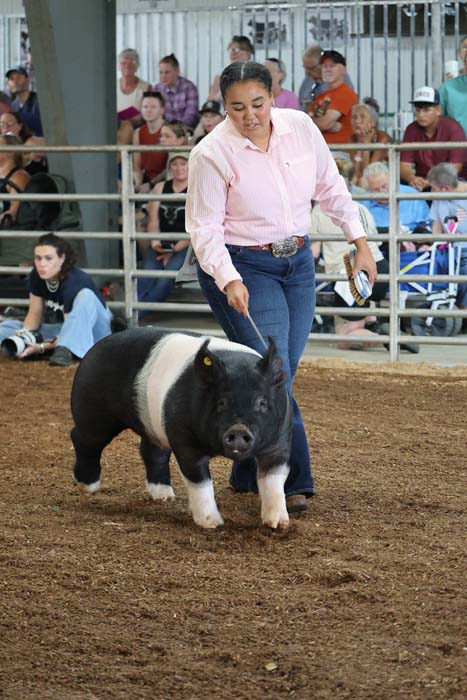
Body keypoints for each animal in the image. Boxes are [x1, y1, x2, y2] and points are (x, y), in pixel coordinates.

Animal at [70, 327, 293, 529]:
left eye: (262, 403)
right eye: (221, 402)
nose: (238, 429)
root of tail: (95, 348)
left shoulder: (279, 443)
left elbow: (272, 481)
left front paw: (278, 524)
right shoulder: (185, 441)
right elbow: (200, 482)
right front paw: (213, 524)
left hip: (154, 426)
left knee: (152, 452)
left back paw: (165, 496)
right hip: (93, 411)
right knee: (83, 440)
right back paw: (87, 488)